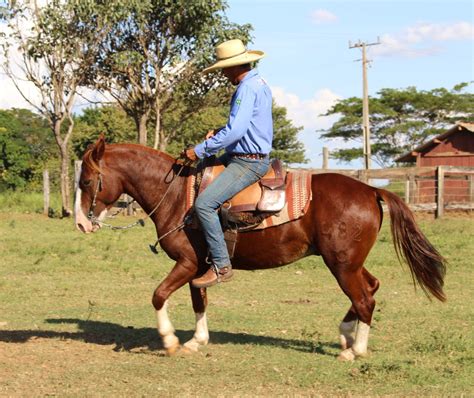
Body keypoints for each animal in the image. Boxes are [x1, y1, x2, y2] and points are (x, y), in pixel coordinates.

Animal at [73, 137, 444, 360]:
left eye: (87, 181)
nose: (80, 224)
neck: (179, 196)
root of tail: (370, 190)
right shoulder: (200, 267)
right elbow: (199, 299)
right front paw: (197, 340)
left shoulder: (187, 262)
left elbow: (159, 295)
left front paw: (170, 340)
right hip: (349, 263)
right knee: (371, 287)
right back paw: (345, 336)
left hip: (341, 265)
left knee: (365, 298)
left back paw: (355, 351)